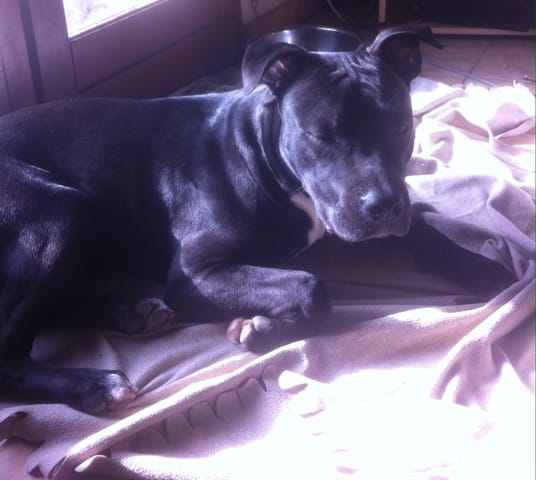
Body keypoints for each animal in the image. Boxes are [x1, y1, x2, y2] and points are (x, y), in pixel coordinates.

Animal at [0, 26, 442, 412]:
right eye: (320, 135)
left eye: (402, 127)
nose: (382, 206)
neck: (260, 151)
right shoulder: (197, 274)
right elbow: (311, 288)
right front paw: (263, 329)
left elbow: (426, 229)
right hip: (63, 214)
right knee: (11, 352)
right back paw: (94, 383)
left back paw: (130, 313)